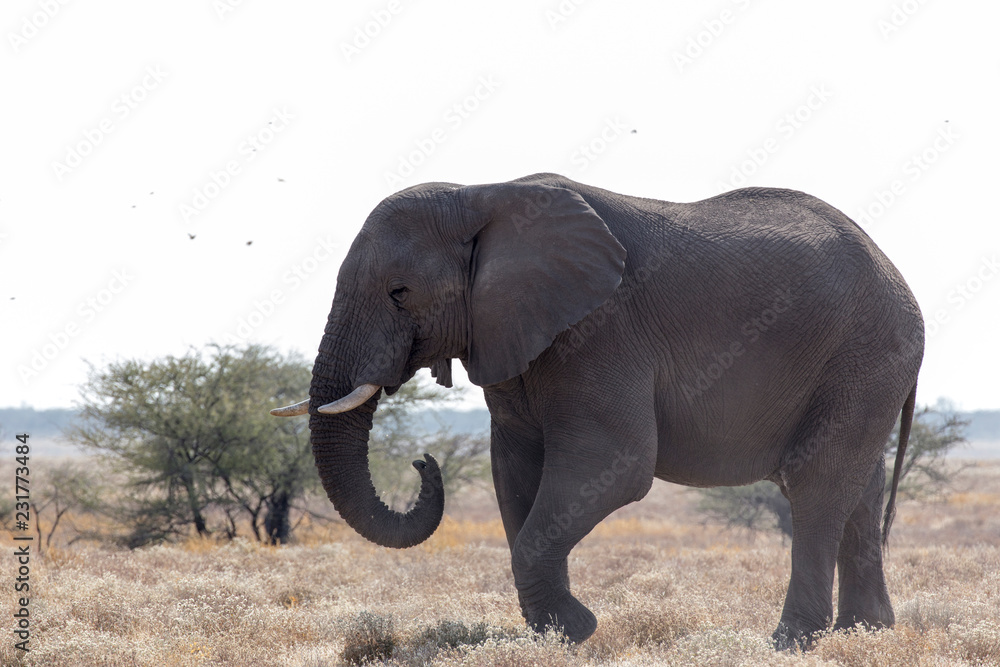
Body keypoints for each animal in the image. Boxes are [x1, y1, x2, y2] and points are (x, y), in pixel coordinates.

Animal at [271, 172, 923, 649]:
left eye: (399, 293)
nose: (423, 462)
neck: (481, 193)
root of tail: (896, 272)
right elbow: (515, 472)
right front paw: (559, 633)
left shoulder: (601, 330)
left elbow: (615, 466)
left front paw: (576, 632)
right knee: (859, 490)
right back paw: (864, 633)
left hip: (866, 353)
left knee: (816, 486)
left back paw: (791, 642)